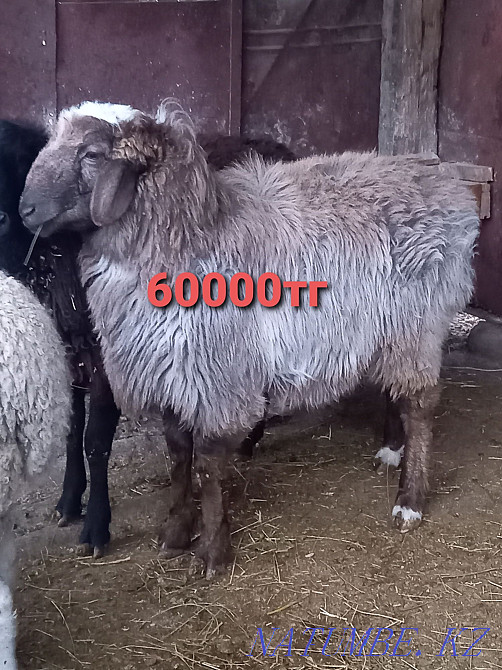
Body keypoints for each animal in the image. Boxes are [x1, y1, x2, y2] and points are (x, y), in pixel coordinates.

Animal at [20, 100, 480, 578]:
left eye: (92, 154)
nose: (25, 210)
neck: (192, 237)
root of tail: (444, 180)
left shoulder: (216, 380)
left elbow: (206, 467)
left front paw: (214, 552)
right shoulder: (172, 374)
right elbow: (178, 457)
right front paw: (176, 533)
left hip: (419, 323)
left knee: (420, 404)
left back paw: (410, 499)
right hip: (388, 328)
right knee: (397, 390)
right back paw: (391, 449)